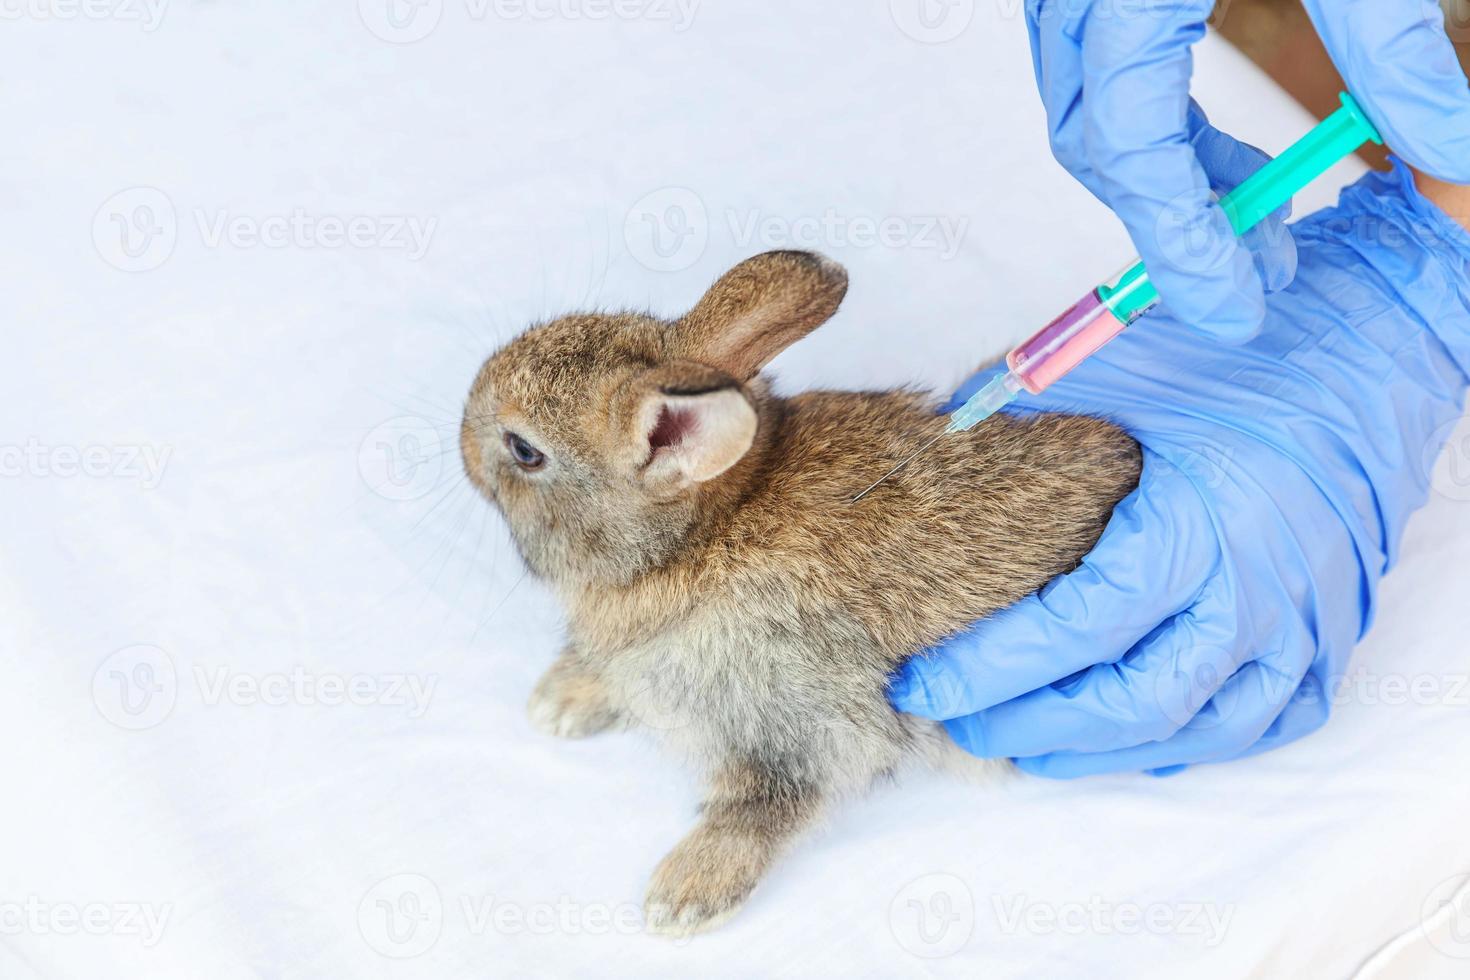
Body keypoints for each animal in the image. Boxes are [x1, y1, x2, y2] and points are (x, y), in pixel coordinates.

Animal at [458, 251, 1134, 934]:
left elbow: (764, 804)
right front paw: (559, 700)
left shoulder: (801, 718)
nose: (463, 441)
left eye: (524, 450)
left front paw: (683, 895)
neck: (697, 538)